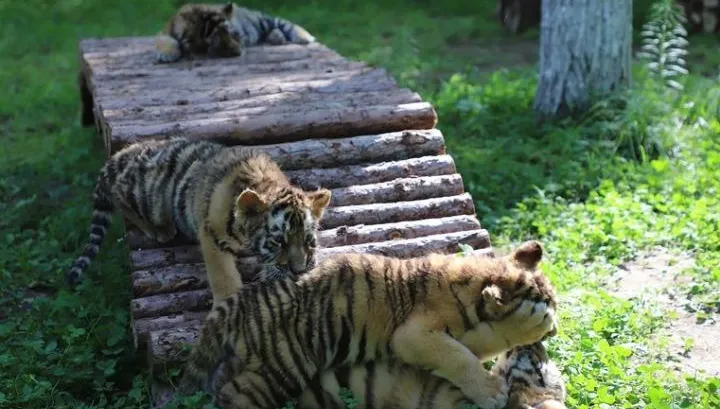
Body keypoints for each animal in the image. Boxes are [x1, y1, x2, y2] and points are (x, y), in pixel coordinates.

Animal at [65, 137, 332, 305]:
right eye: (279, 242)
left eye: (308, 242)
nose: (298, 270)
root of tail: (119, 155)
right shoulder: (212, 235)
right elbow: (223, 276)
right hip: (149, 199)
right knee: (121, 201)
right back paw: (161, 230)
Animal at [155, 3, 316, 63]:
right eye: (215, 43)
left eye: (236, 34)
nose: (238, 53)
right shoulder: (164, 32)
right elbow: (167, 40)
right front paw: (166, 54)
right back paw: (277, 37)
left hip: (261, 19)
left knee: (282, 23)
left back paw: (305, 37)